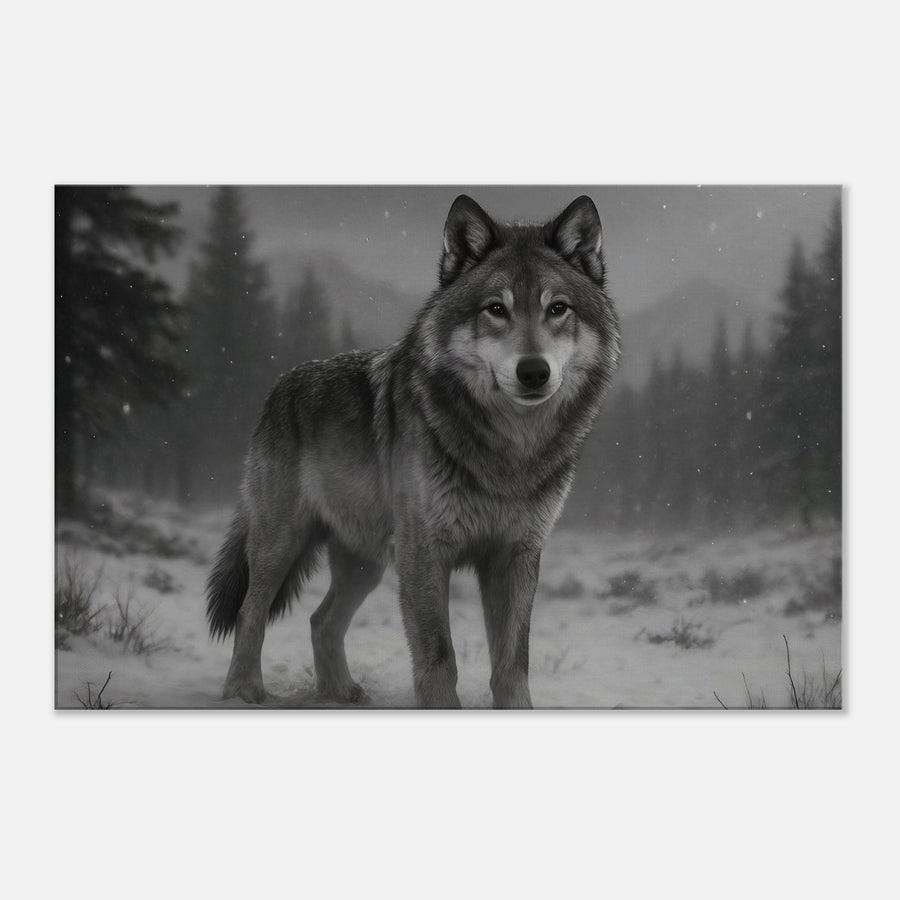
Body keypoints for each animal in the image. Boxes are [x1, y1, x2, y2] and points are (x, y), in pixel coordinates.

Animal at [206, 194, 620, 708]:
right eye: (496, 309)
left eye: (558, 308)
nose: (533, 372)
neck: (509, 451)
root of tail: (280, 384)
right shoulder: (425, 553)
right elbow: (440, 657)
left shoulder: (516, 555)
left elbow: (512, 663)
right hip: (283, 544)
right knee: (251, 611)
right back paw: (243, 691)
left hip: (367, 564)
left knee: (321, 620)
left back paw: (339, 691)